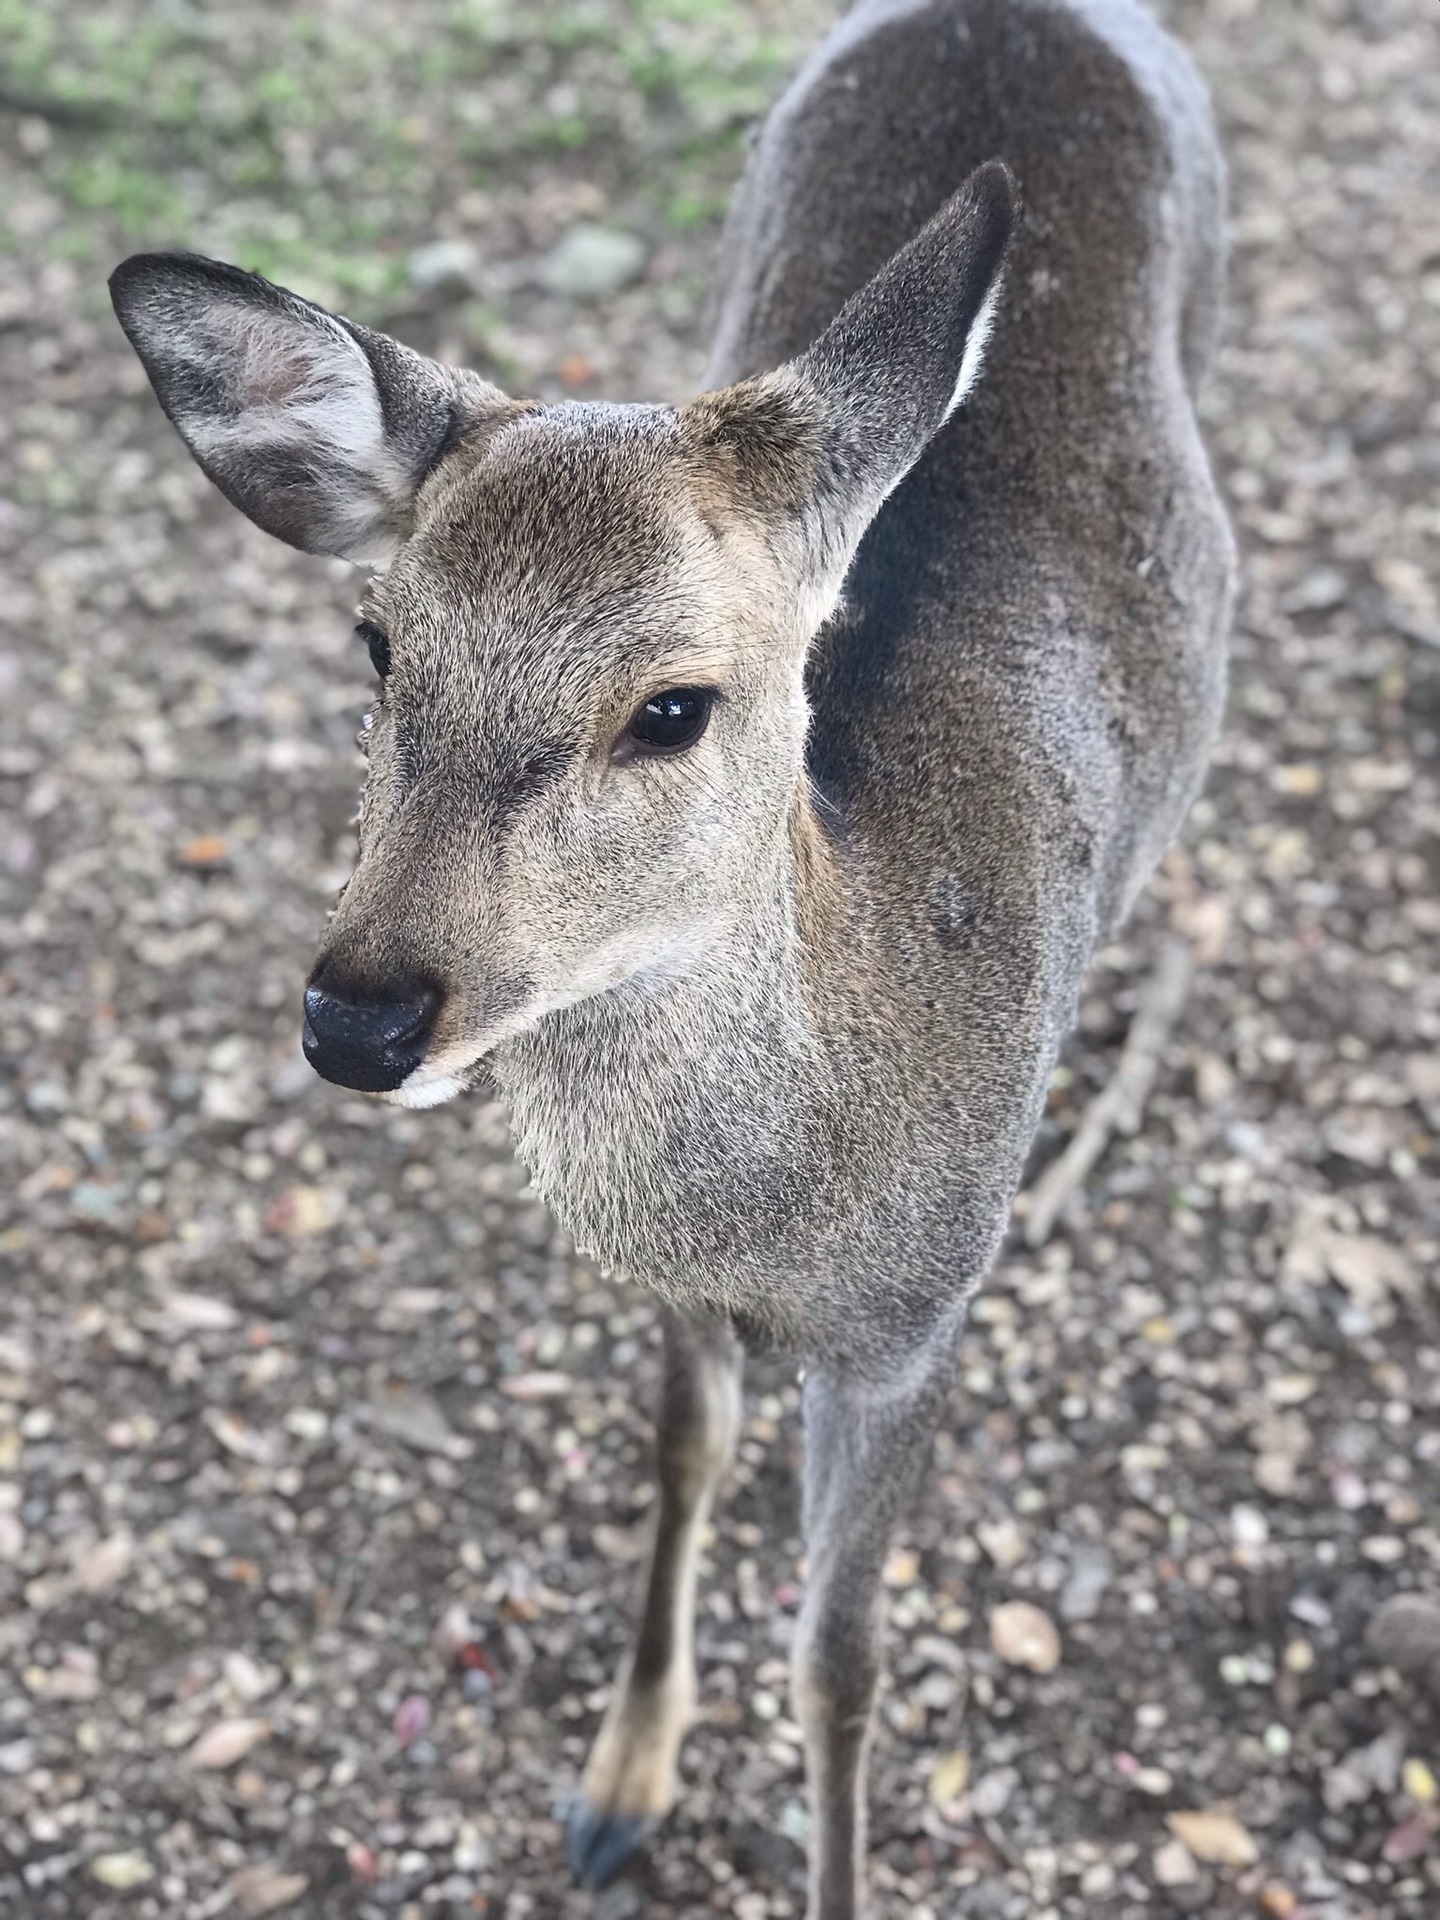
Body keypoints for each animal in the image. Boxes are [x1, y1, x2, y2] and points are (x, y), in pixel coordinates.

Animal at [112, 0, 1244, 1912]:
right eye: (377, 649)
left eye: (672, 706)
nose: (359, 1014)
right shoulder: (676, 1291)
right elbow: (682, 1447)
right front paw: (617, 1784)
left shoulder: (919, 1322)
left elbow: (843, 1661)